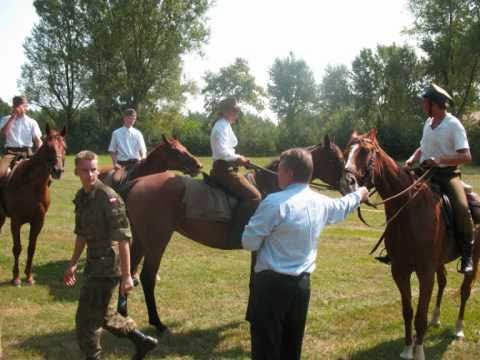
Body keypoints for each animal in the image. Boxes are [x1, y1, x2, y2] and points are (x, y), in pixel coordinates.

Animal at [0, 124, 67, 286]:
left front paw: (29, 276)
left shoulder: (38, 222)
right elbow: (17, 248)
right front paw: (16, 278)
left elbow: (31, 248)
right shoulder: (16, 221)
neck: (30, 185)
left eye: (65, 147)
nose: (58, 170)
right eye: (48, 147)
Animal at [123, 136, 348, 334]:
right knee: (147, 277)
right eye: (337, 159)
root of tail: (138, 182)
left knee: (129, 271)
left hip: (140, 241)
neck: (269, 188)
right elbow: (254, 282)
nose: (349, 182)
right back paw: (158, 324)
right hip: (157, 242)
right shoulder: (260, 249)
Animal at [344, 129, 478, 360]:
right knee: (443, 282)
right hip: (439, 263)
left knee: (465, 290)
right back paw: (436, 318)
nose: (347, 182)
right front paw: (407, 349)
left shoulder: (425, 271)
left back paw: (458, 329)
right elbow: (407, 312)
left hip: (474, 258)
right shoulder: (400, 270)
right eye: (347, 150)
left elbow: (420, 316)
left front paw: (419, 351)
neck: (410, 210)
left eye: (366, 152)